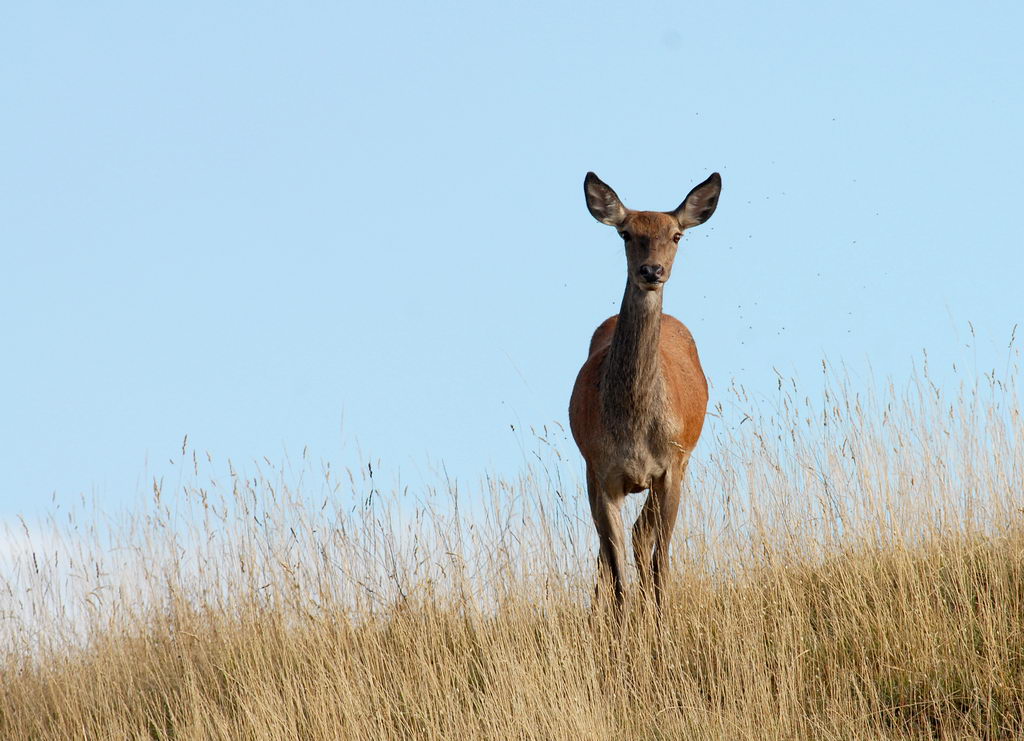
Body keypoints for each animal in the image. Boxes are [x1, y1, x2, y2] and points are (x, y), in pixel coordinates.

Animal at [569, 168, 720, 605]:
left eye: (676, 235)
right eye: (626, 233)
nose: (651, 271)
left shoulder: (671, 466)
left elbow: (659, 562)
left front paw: (662, 616)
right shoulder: (600, 471)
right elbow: (617, 572)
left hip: (682, 461)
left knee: (640, 539)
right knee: (609, 555)